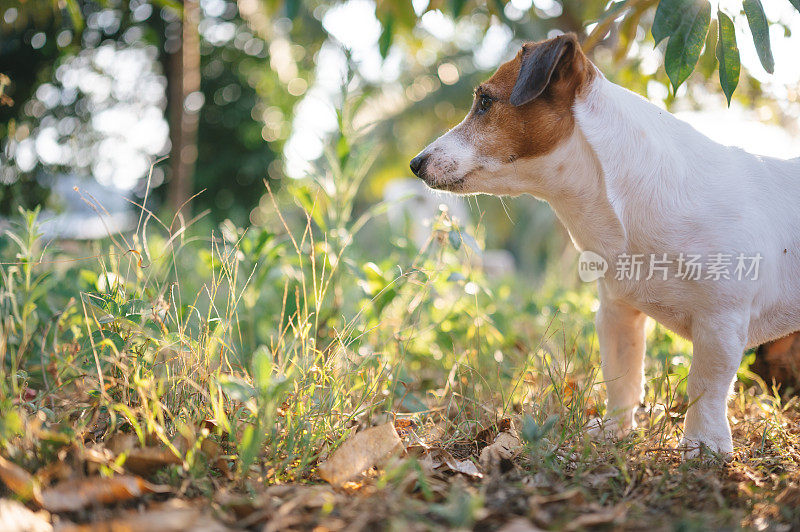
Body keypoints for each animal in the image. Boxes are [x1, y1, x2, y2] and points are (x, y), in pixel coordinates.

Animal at [410, 33, 800, 458]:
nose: (415, 163)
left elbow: (705, 386)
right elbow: (622, 376)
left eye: (484, 101)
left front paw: (703, 447)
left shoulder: (720, 323)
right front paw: (615, 431)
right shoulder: (617, 312)